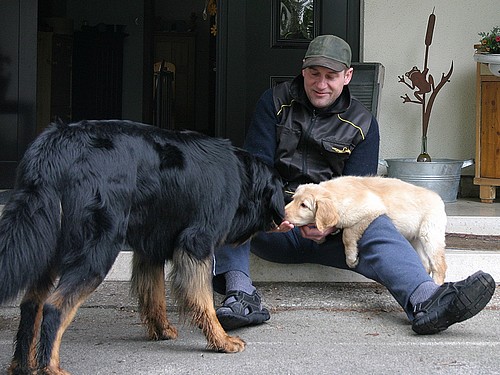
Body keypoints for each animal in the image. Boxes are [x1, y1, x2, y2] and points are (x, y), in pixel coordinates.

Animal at [0, 121, 284, 375]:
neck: (242, 176)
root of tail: (55, 142)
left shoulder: (150, 250)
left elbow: (154, 295)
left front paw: (162, 330)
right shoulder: (197, 243)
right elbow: (203, 301)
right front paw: (221, 341)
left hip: (47, 246)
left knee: (31, 305)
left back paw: (23, 365)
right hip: (98, 249)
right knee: (54, 307)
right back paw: (51, 368)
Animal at [286, 176, 450, 284]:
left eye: (304, 205)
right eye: (293, 199)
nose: (283, 213)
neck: (335, 194)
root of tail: (438, 198)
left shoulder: (370, 210)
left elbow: (347, 234)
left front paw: (351, 259)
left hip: (430, 234)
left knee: (439, 266)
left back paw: (436, 285)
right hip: (415, 238)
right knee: (426, 264)